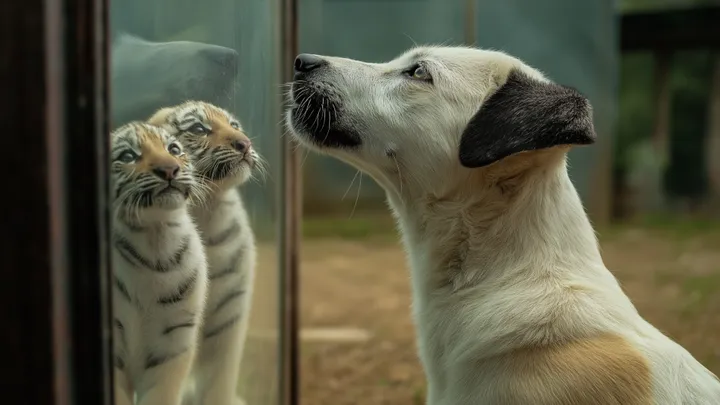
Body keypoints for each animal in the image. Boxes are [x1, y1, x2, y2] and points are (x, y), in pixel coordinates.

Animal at [148, 101, 263, 405]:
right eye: (200, 129)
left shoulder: (230, 313)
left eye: (234, 125)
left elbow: (219, 377)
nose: (245, 143)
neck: (207, 211)